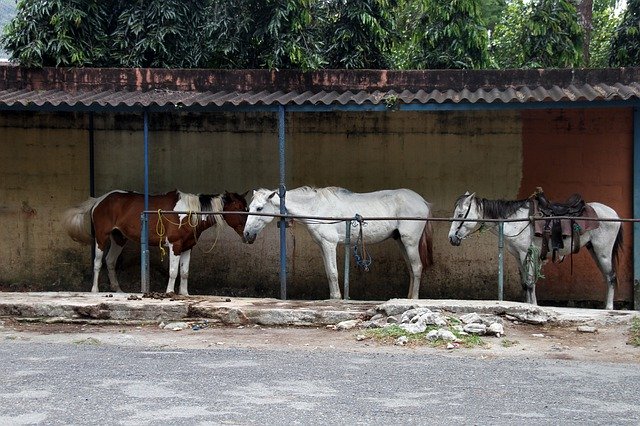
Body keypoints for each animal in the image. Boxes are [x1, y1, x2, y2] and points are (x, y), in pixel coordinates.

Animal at [62, 191, 248, 294]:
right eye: (239, 208)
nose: (248, 234)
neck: (188, 213)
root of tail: (100, 200)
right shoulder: (175, 246)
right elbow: (173, 271)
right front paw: (170, 292)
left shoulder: (188, 247)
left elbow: (185, 272)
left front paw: (185, 294)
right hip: (102, 237)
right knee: (98, 262)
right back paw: (95, 290)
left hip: (119, 238)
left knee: (110, 261)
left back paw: (118, 290)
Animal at [242, 186, 432, 300]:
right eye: (249, 208)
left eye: (259, 208)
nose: (247, 234)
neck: (316, 208)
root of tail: (422, 201)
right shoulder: (322, 246)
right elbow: (328, 272)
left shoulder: (329, 244)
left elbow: (333, 273)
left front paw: (336, 298)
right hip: (401, 241)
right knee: (411, 269)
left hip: (410, 241)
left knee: (417, 267)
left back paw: (414, 299)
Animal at [448, 193, 624, 310]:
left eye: (460, 214)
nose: (451, 238)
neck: (516, 221)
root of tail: (614, 214)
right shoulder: (518, 257)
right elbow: (525, 283)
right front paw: (528, 305)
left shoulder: (526, 253)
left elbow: (530, 283)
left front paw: (533, 306)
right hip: (594, 251)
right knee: (607, 277)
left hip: (603, 252)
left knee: (611, 277)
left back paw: (608, 308)